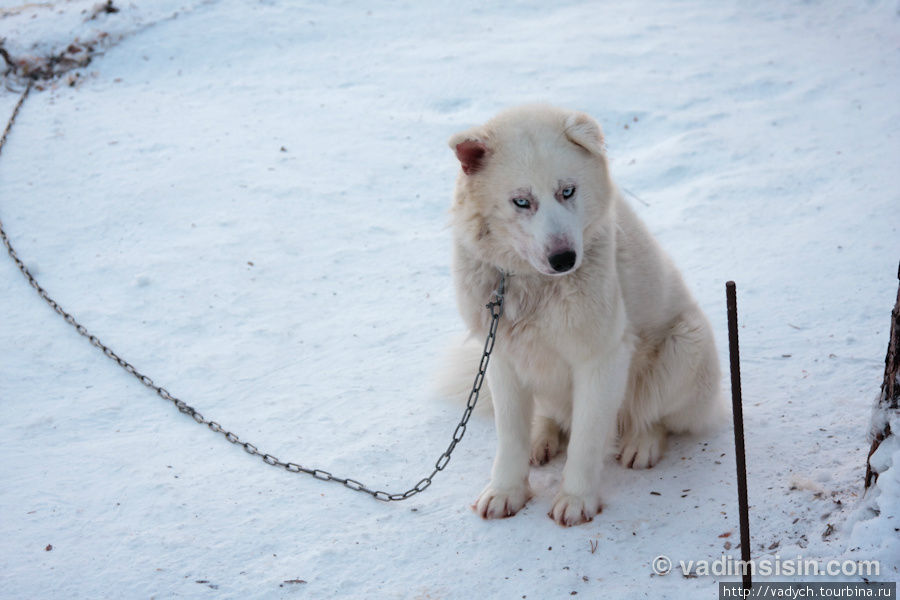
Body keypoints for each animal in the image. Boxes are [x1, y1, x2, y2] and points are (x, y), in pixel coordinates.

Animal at [450, 105, 724, 528]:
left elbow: (586, 439)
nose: (564, 259)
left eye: (568, 191)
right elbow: (509, 437)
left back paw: (642, 442)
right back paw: (542, 436)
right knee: (550, 415)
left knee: (654, 416)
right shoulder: (501, 357)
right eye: (521, 202)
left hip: (686, 343)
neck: (531, 285)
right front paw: (506, 491)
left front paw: (576, 499)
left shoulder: (601, 359)